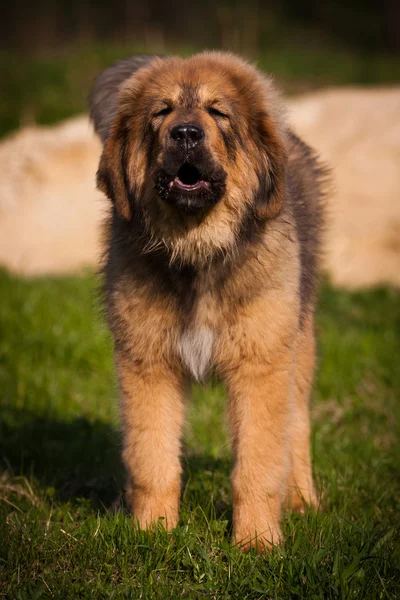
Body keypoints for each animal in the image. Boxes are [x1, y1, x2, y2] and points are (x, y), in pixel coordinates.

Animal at [89, 52, 326, 552]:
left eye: (218, 113)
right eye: (161, 112)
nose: (184, 133)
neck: (197, 252)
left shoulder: (261, 364)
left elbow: (258, 464)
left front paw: (257, 543)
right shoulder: (147, 363)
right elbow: (153, 458)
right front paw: (151, 534)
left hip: (298, 338)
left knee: (297, 424)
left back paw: (300, 500)